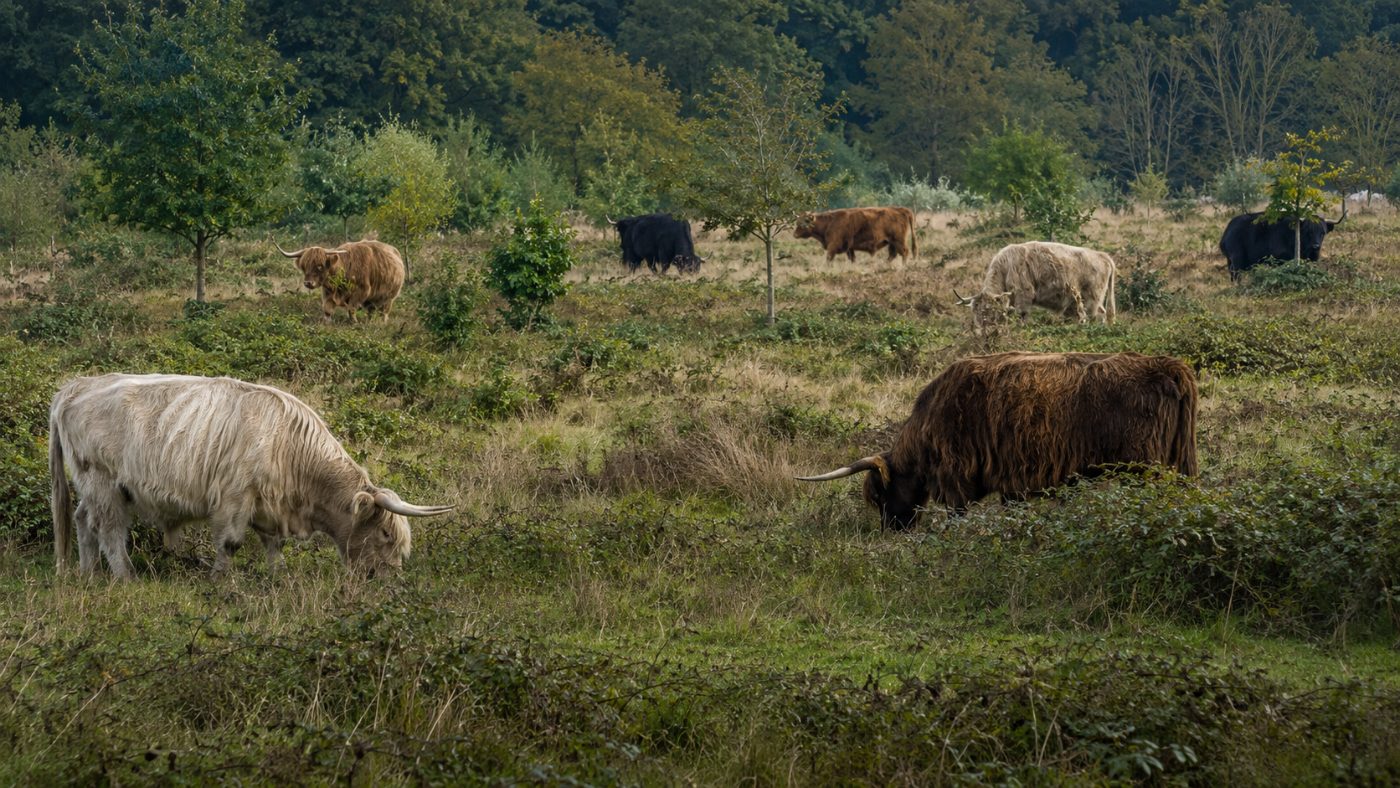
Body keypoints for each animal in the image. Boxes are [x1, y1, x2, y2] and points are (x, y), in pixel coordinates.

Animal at [49, 373, 453, 579]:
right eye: (385, 534)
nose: (391, 578)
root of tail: (73, 387)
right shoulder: (234, 498)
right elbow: (229, 544)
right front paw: (221, 583)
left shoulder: (268, 505)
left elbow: (274, 546)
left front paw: (279, 578)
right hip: (102, 481)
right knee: (109, 529)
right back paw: (125, 578)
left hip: (95, 486)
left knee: (82, 520)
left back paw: (86, 574)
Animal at [276, 239, 405, 322]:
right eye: (304, 266)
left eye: (320, 266)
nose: (308, 283)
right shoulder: (328, 292)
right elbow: (327, 310)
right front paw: (327, 323)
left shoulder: (361, 291)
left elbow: (352, 309)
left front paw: (354, 323)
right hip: (373, 300)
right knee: (371, 311)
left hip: (388, 298)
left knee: (383, 313)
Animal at [797, 352, 1198, 530]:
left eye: (880, 496)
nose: (892, 530)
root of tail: (1170, 366)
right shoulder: (1013, 480)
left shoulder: (958, 474)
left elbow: (957, 514)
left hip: (1146, 469)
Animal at [955, 241, 1117, 335]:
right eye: (974, 311)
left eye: (988, 310)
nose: (980, 331)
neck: (1005, 267)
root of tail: (1104, 256)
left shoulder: (1024, 296)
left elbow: (1022, 316)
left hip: (1092, 297)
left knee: (1097, 315)